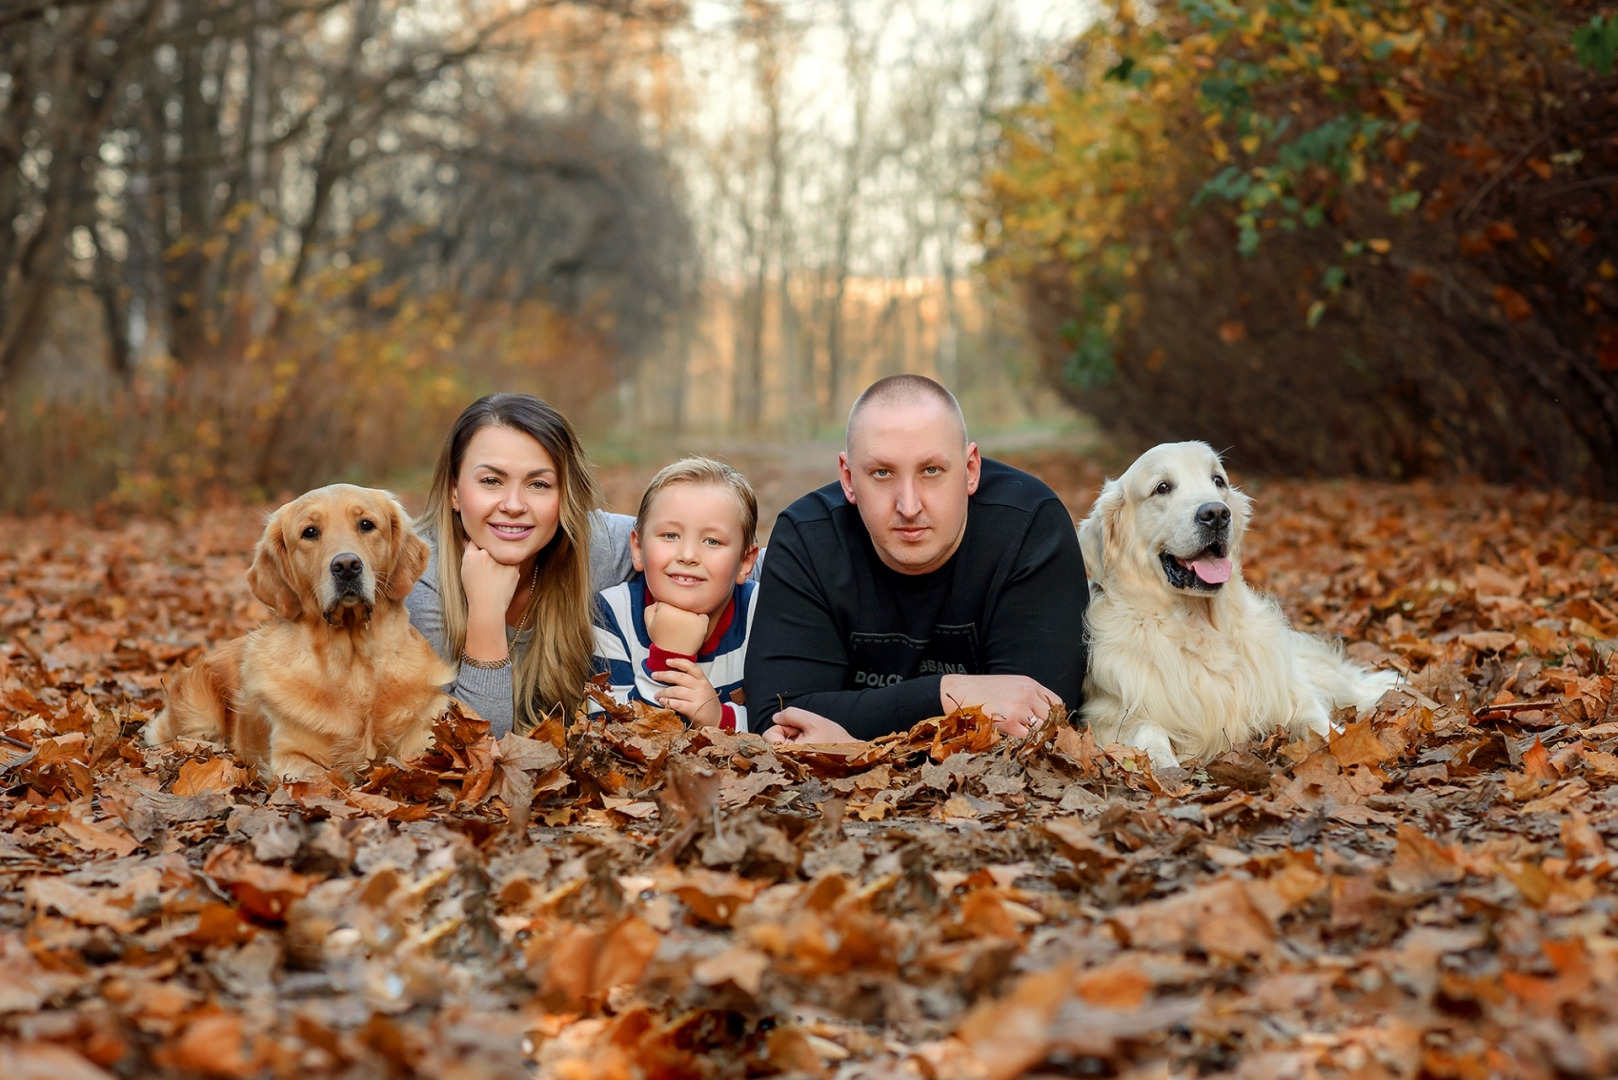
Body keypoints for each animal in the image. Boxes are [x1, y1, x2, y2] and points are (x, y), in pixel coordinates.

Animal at [143, 485, 456, 780]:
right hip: (198, 719)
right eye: (310, 532)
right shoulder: (290, 754)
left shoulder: (425, 729)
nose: (346, 566)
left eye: (366, 524)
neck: (354, 666)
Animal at [1074, 443, 1391, 773]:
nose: (1216, 513)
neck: (1200, 625)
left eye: (1218, 480)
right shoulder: (1110, 713)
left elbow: (1314, 721)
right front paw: (1164, 764)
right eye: (1162, 487)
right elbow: (1148, 731)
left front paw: (1347, 743)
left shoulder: (1287, 691)